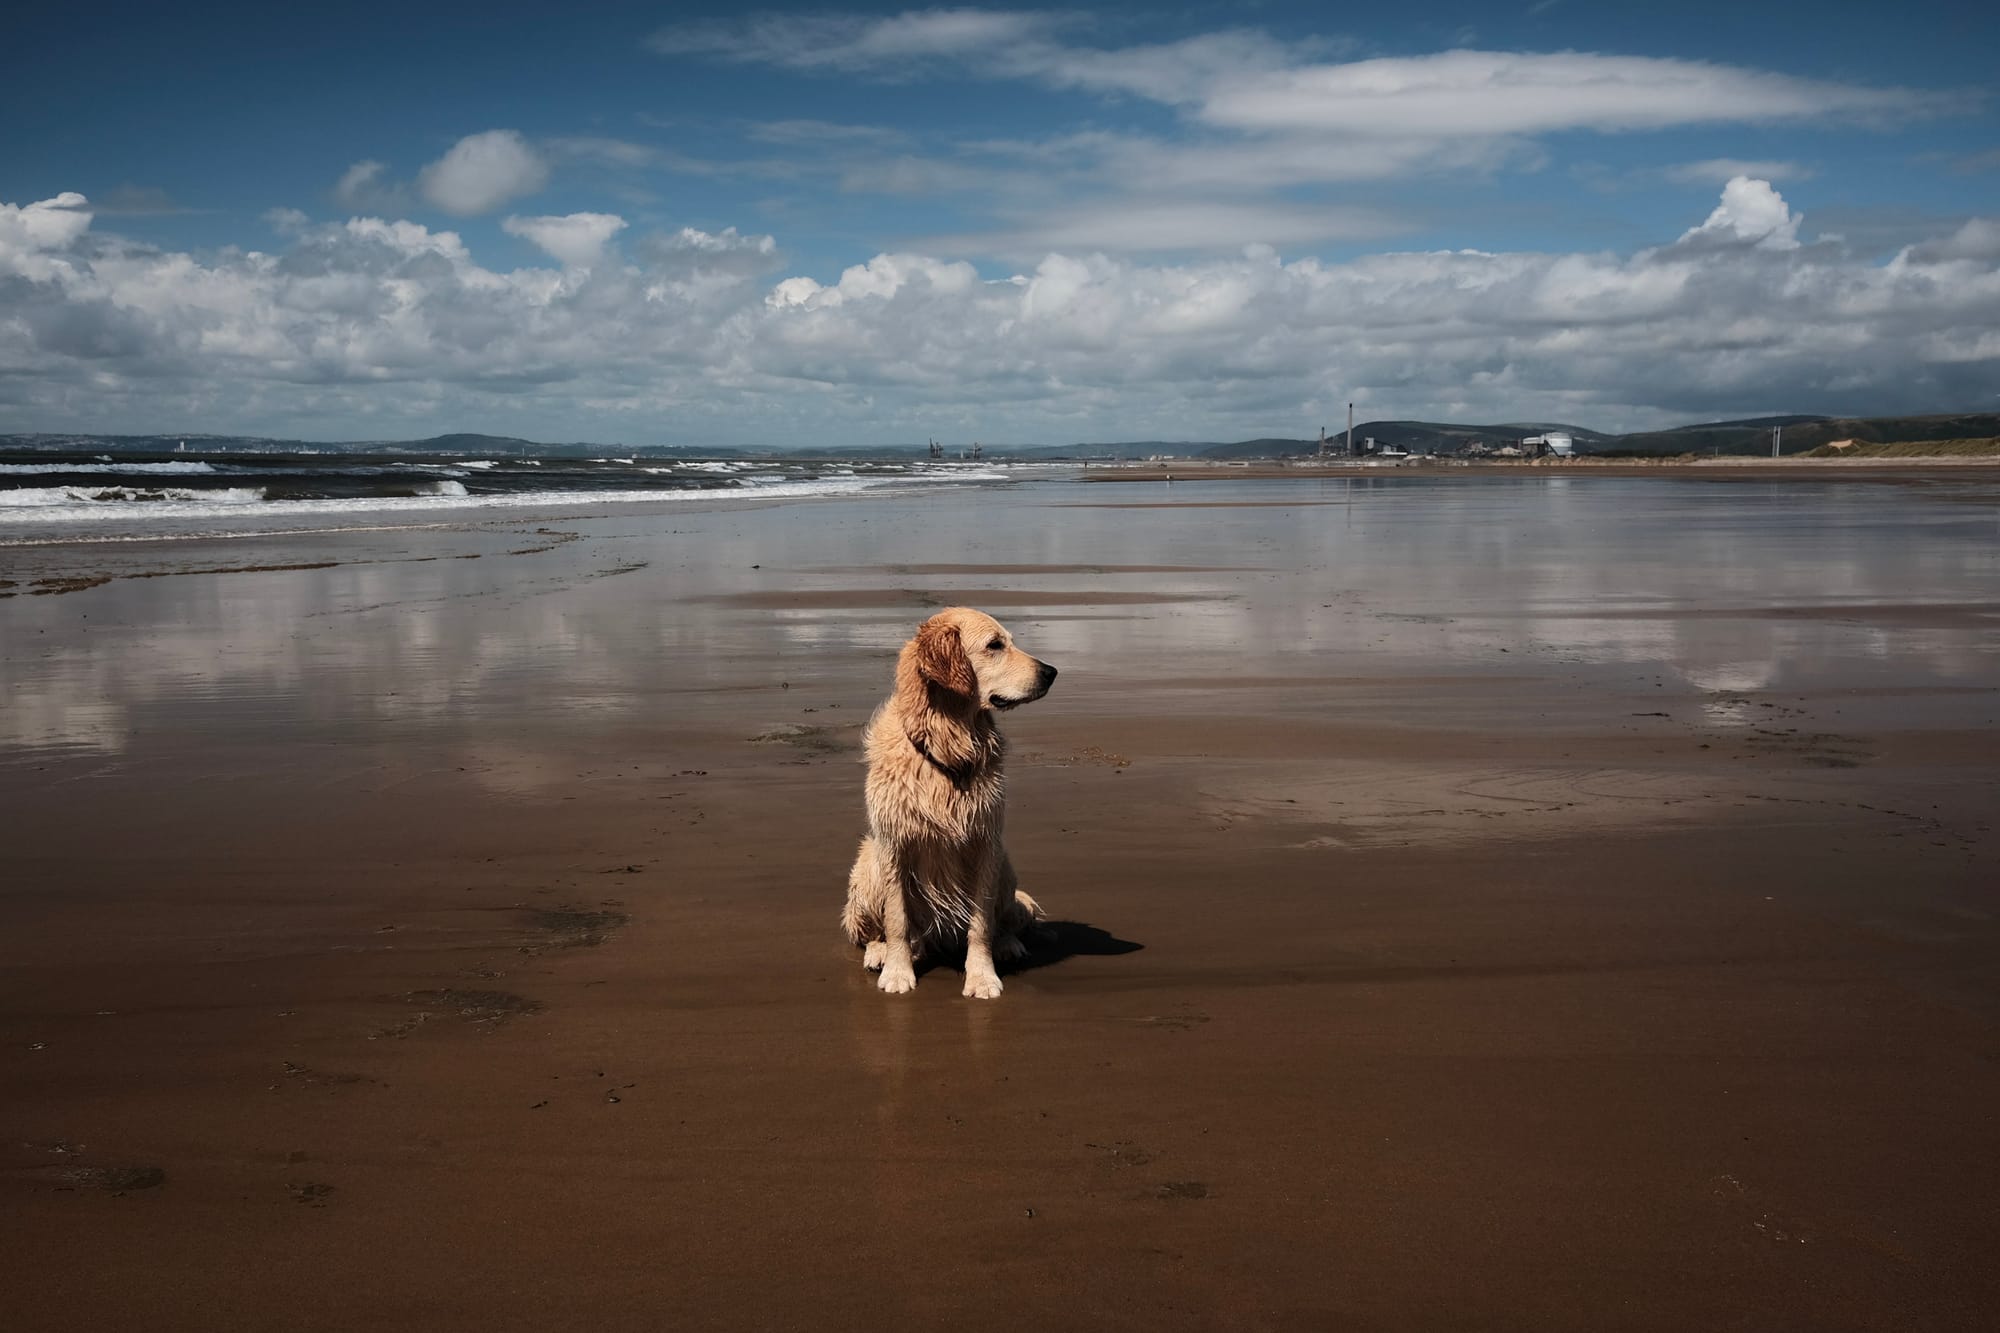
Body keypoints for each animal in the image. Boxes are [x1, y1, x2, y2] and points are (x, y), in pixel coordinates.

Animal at [844, 608, 1064, 992]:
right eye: (994, 645)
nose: (1051, 672)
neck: (948, 745)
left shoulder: (984, 842)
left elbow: (981, 924)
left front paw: (982, 976)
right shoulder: (895, 845)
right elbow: (897, 920)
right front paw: (898, 972)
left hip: (1005, 866)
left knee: (1004, 919)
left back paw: (1008, 945)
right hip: (869, 865)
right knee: (877, 930)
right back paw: (880, 952)